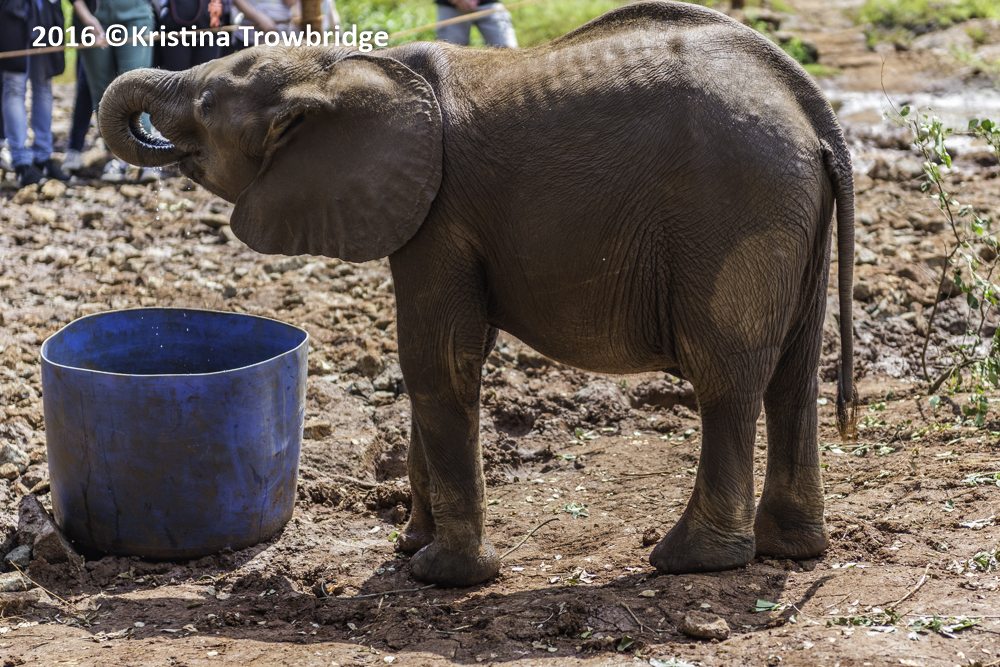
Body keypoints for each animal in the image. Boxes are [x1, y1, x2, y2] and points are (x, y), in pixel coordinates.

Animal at [99, 0, 857, 587]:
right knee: (793, 374)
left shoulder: (441, 212)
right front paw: (409, 547)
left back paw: (690, 559)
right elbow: (449, 355)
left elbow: (436, 360)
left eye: (203, 107)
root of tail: (817, 115)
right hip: (790, 211)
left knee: (726, 379)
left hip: (735, 205)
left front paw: (443, 574)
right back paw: (792, 549)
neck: (344, 65)